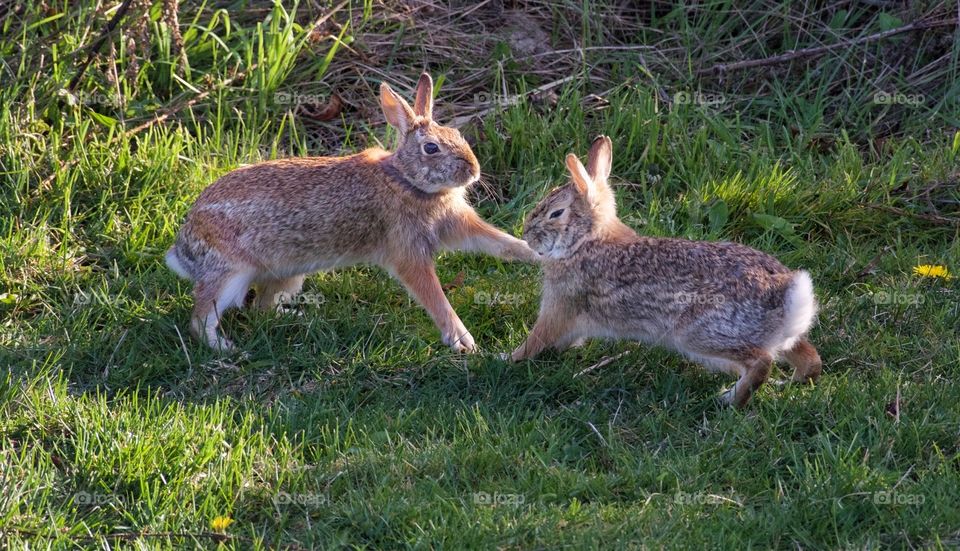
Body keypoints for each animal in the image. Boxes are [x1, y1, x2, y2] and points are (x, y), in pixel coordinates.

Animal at [168, 73, 536, 352]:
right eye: (431, 148)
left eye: (458, 134)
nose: (473, 169)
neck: (406, 181)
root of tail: (182, 249)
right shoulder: (408, 252)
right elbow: (433, 295)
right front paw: (462, 340)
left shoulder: (456, 225)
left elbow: (499, 242)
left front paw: (534, 253)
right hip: (230, 274)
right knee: (201, 316)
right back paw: (224, 348)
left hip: (289, 274)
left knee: (261, 308)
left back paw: (293, 318)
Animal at [512, 136, 820, 408]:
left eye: (556, 213)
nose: (527, 234)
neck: (586, 241)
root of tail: (788, 293)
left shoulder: (560, 306)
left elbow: (538, 339)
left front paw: (508, 359)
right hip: (778, 339)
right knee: (810, 360)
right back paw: (788, 383)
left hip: (700, 333)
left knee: (761, 362)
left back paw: (728, 400)